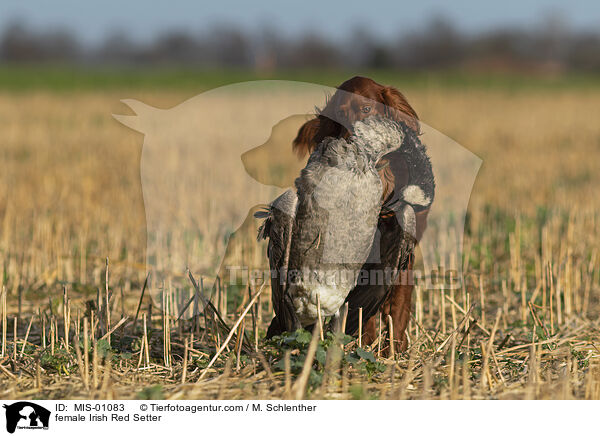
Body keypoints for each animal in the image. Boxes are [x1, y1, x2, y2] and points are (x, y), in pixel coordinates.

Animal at [292, 76, 428, 354]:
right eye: (340, 114)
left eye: (366, 109)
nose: (351, 145)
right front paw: (367, 345)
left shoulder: (404, 257)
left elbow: (399, 305)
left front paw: (395, 351)